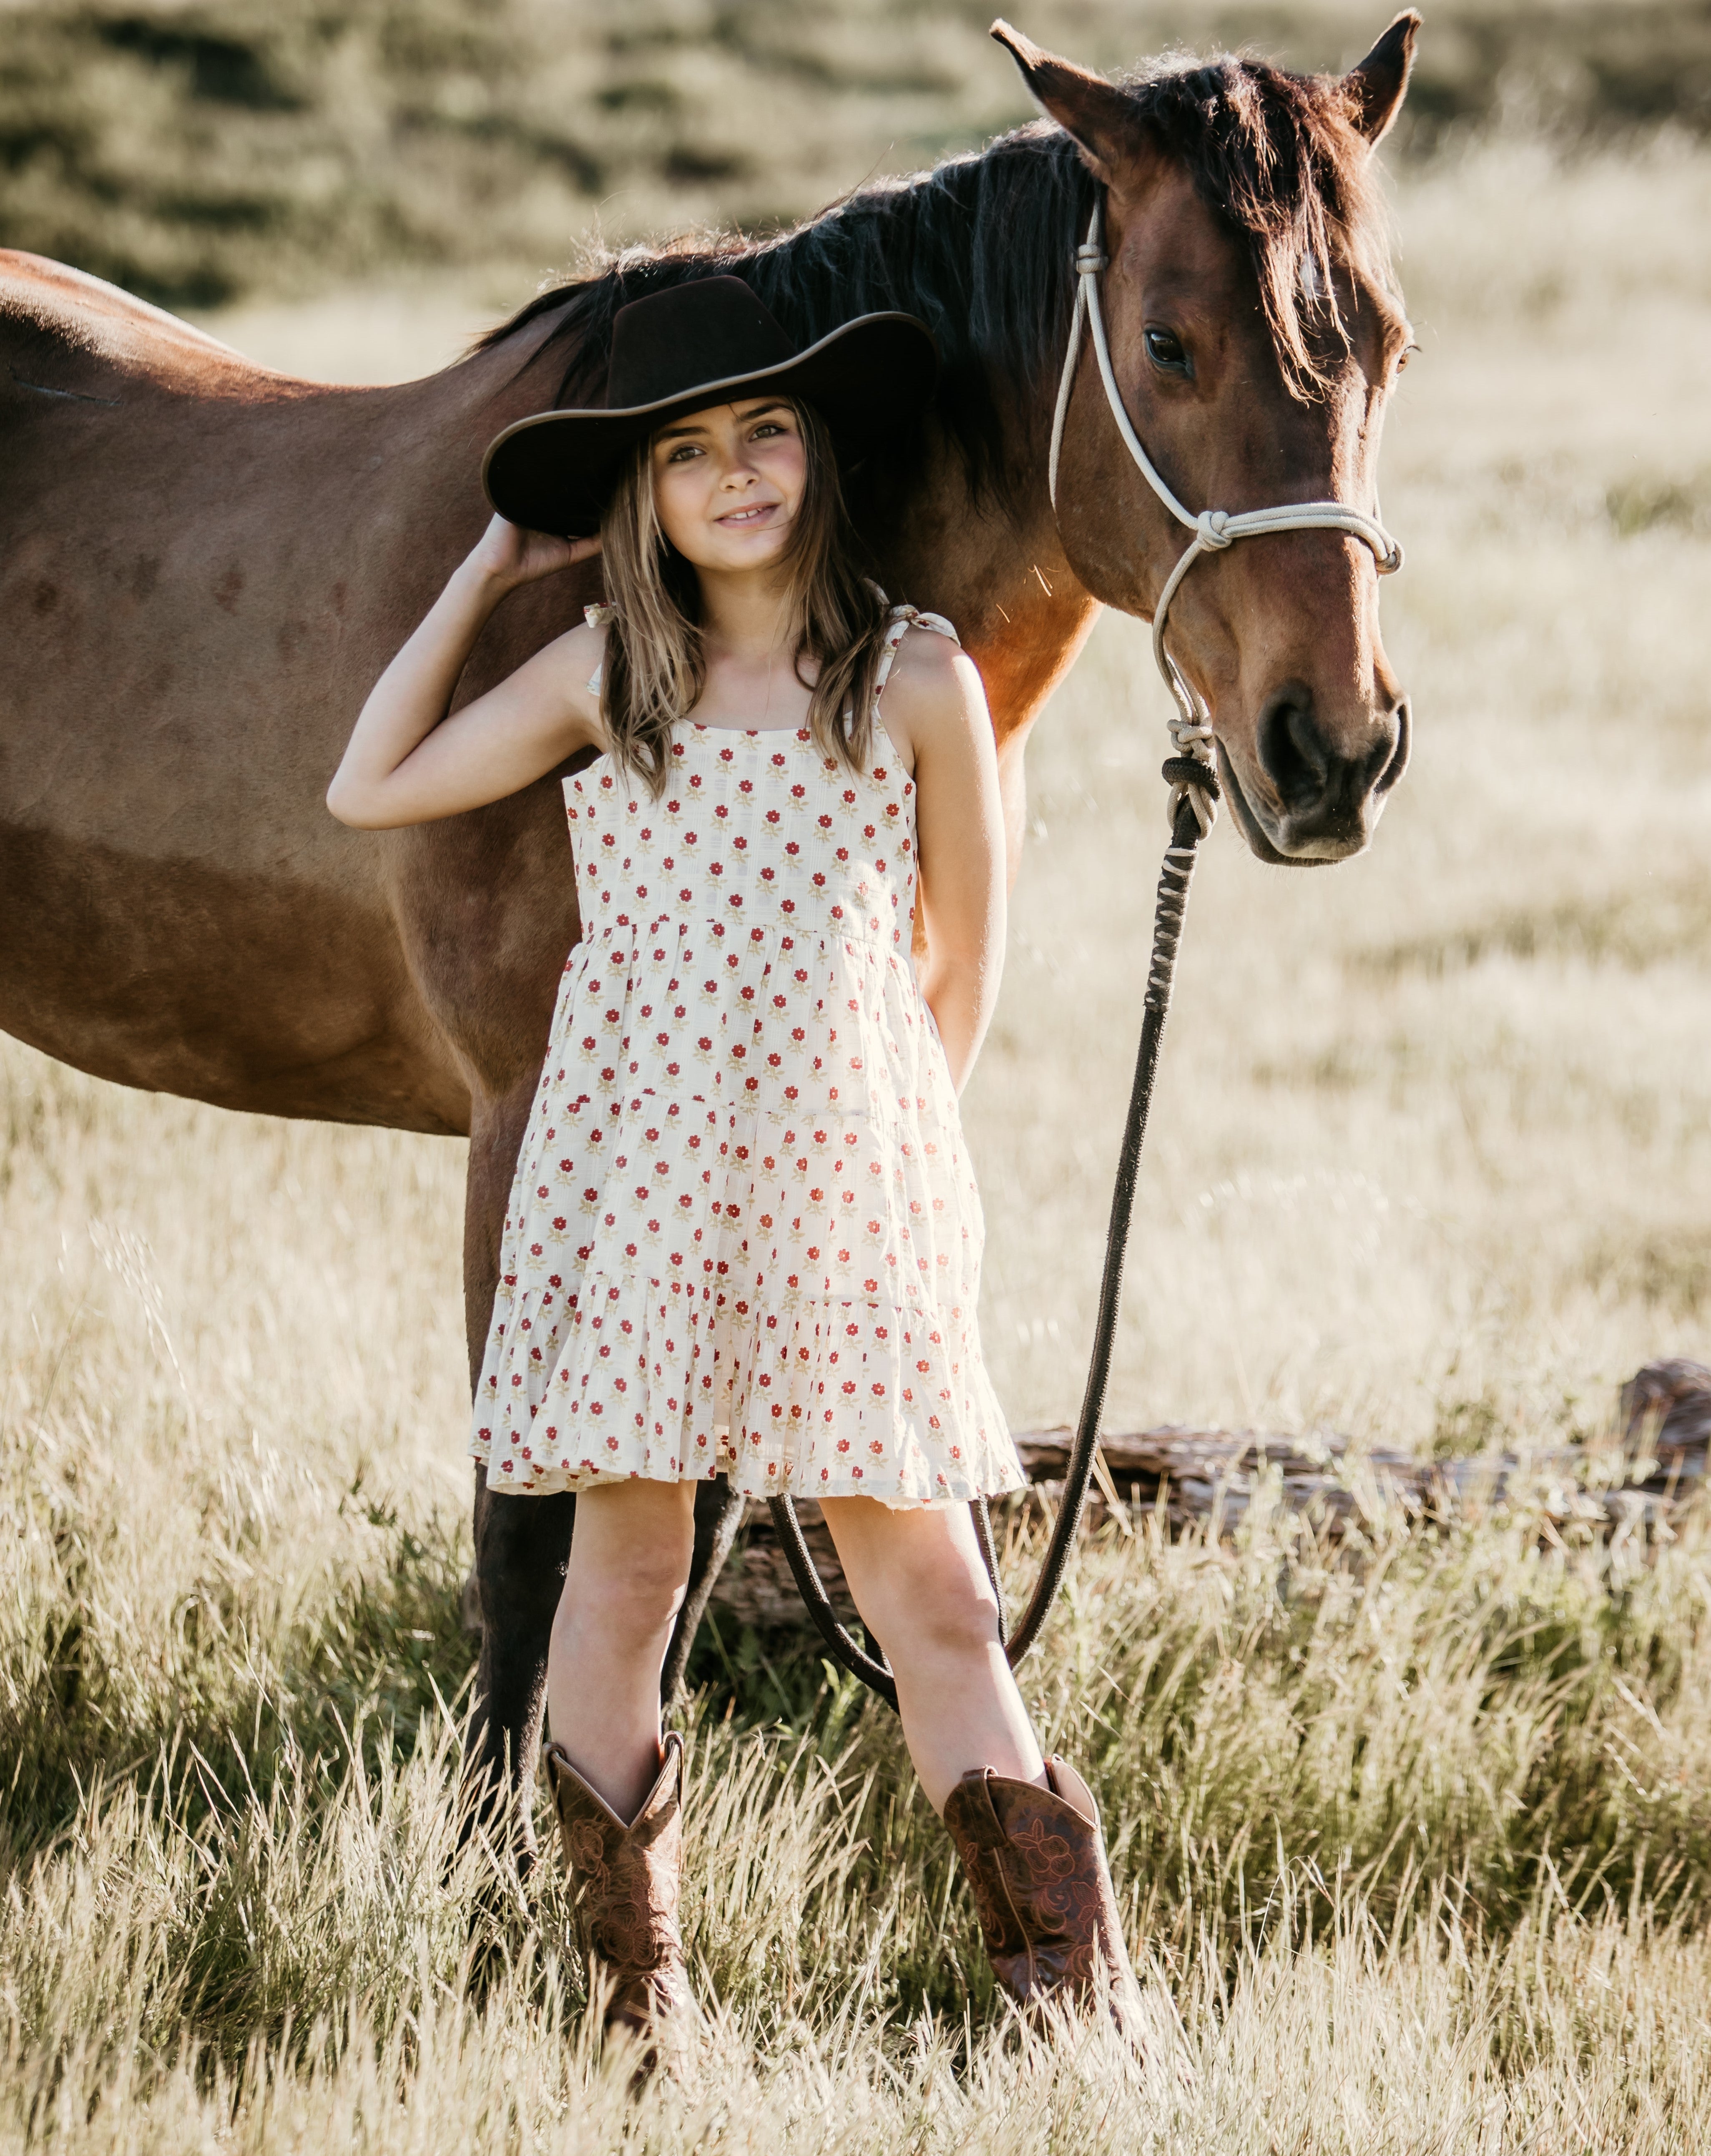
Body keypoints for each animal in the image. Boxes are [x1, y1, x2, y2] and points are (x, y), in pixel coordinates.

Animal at [0, 13, 1415, 1837]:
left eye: (1385, 341)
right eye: (1168, 341)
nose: (1334, 751)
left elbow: (705, 1511)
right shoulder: (529, 1120)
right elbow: (533, 1528)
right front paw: (504, 1849)